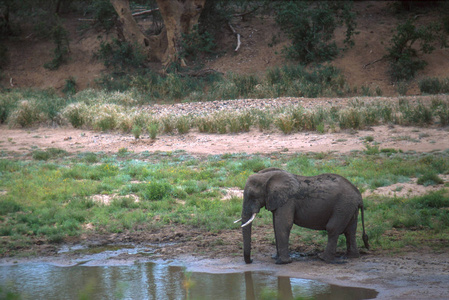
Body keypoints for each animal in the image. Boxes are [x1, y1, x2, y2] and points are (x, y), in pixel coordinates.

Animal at [234, 168, 368, 264]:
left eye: (252, 196)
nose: (251, 260)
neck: (267, 177)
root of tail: (359, 196)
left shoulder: (288, 200)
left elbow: (282, 225)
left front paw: (282, 262)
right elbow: (276, 225)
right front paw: (275, 258)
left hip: (343, 206)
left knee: (333, 229)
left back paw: (323, 258)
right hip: (349, 208)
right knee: (350, 230)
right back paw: (352, 256)